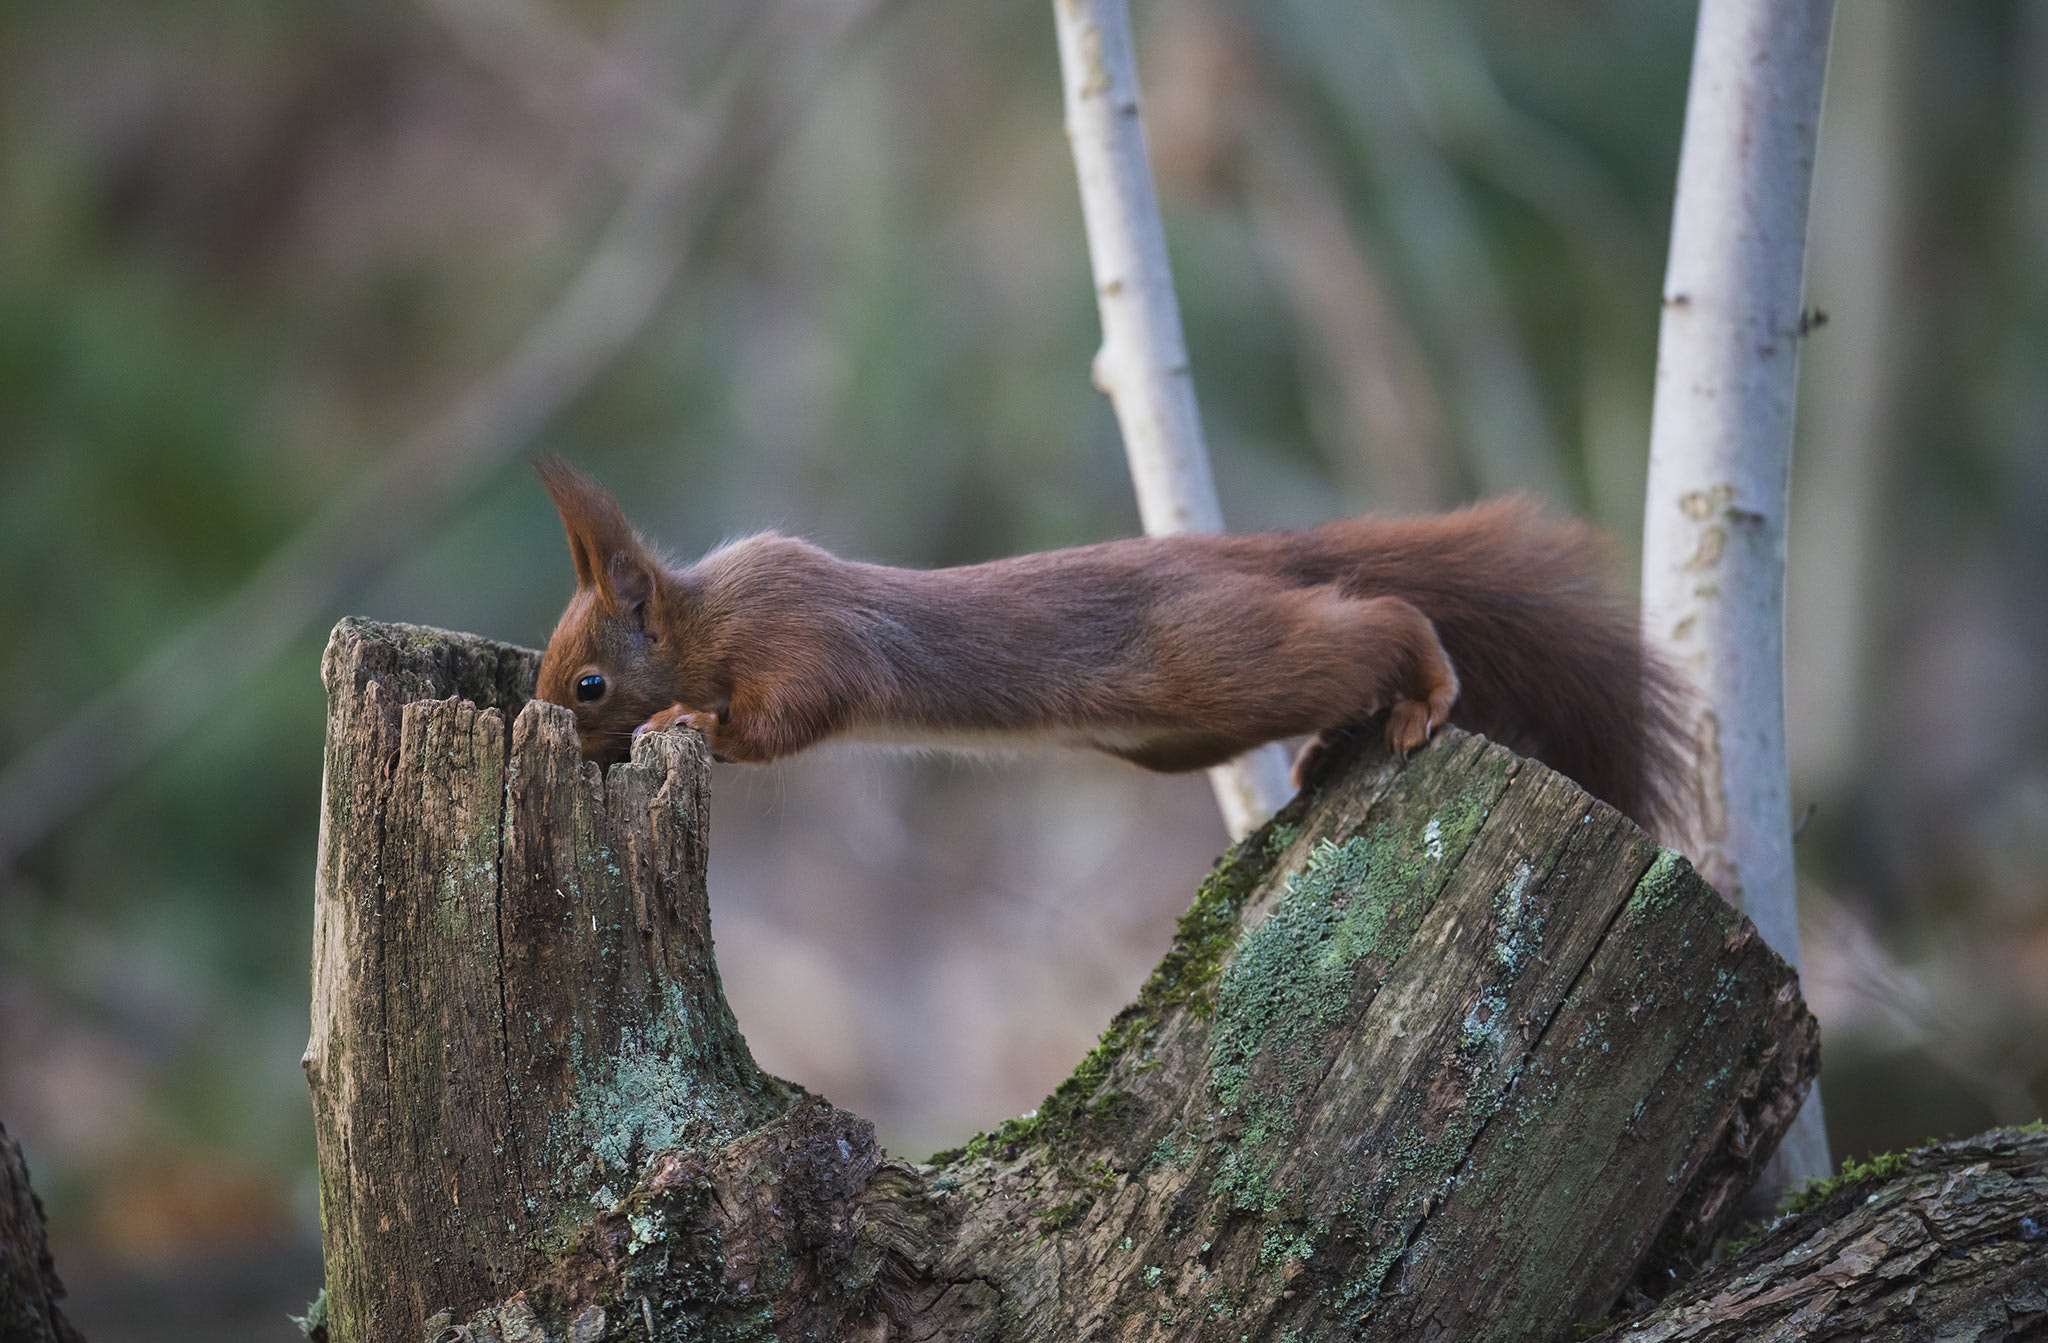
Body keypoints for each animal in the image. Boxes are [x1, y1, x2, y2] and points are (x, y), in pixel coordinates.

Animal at [528, 464, 1679, 839]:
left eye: (589, 683)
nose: (547, 726)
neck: (708, 616)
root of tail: (1223, 554)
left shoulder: (807, 639)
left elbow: (786, 718)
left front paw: (690, 720)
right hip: (1178, 733)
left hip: (1220, 656)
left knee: (1383, 620)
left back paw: (1426, 687)